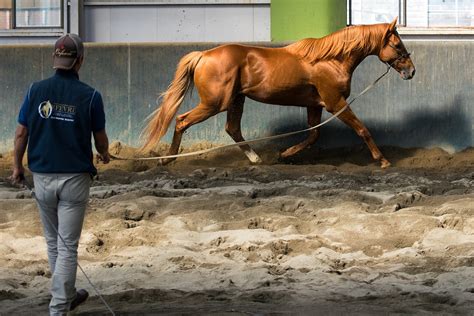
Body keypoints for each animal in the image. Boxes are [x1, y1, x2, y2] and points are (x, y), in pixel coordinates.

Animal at [142, 17, 414, 168]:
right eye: (397, 44)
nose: (411, 71)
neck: (330, 59)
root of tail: (203, 55)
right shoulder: (336, 102)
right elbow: (361, 129)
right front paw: (383, 160)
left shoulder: (315, 105)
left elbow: (313, 135)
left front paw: (284, 154)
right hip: (214, 103)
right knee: (181, 120)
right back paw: (167, 159)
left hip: (236, 100)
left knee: (232, 129)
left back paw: (256, 159)